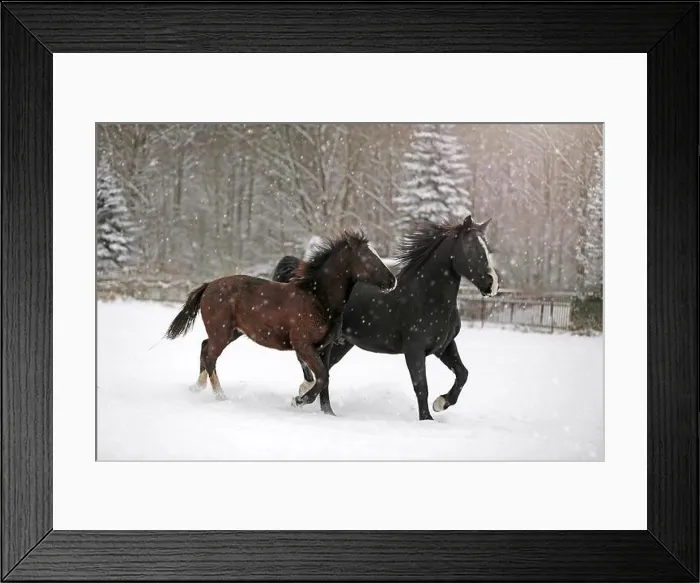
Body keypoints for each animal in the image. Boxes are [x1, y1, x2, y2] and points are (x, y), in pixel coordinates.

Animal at [165, 230, 397, 415]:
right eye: (368, 257)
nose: (392, 281)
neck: (318, 299)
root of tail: (209, 285)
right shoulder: (303, 345)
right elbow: (321, 377)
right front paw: (299, 400)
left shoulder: (325, 347)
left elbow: (324, 378)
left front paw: (328, 413)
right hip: (221, 333)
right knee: (211, 356)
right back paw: (221, 396)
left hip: (232, 332)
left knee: (204, 347)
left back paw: (197, 387)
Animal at [271, 215, 500, 421]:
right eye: (471, 247)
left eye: (487, 248)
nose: (492, 284)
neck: (427, 298)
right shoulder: (414, 350)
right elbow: (421, 386)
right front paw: (427, 419)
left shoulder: (444, 346)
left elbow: (463, 373)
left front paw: (441, 403)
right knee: (310, 364)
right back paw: (308, 393)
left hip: (342, 344)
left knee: (324, 371)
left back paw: (326, 410)